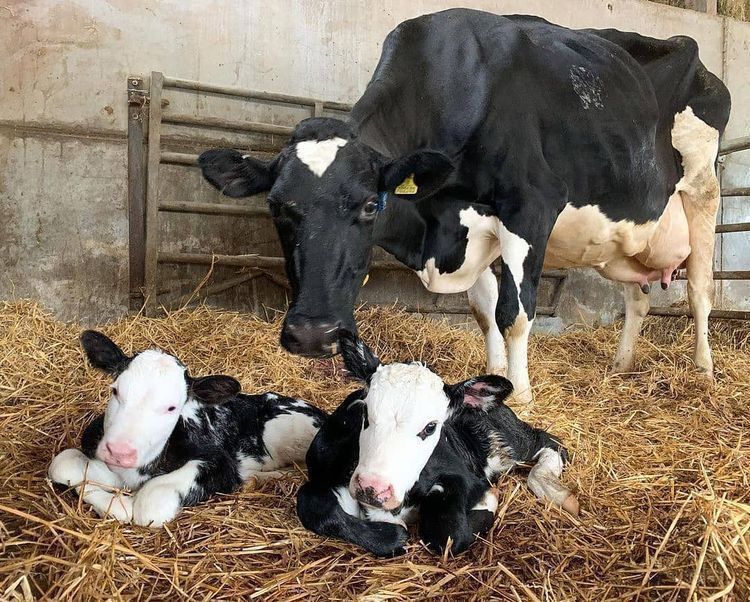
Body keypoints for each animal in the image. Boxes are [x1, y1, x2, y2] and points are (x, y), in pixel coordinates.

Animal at [48, 330, 326, 526]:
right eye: (115, 391)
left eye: (173, 407)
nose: (119, 451)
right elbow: (63, 463)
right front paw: (115, 503)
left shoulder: (219, 462)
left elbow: (150, 504)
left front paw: (126, 504)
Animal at [199, 9, 731, 403]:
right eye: (276, 205)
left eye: (371, 205)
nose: (312, 335)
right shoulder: (470, 225)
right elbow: (483, 310)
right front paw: (496, 375)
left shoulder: (529, 207)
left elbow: (514, 312)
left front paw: (521, 394)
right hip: (626, 238)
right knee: (637, 298)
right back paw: (621, 366)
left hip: (704, 188)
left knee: (700, 290)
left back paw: (703, 371)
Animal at [296, 332, 576, 557]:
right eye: (366, 413)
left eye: (430, 427)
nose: (372, 488)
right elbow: (311, 506)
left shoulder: (463, 475)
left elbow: (448, 535)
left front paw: (487, 501)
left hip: (507, 441)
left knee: (549, 442)